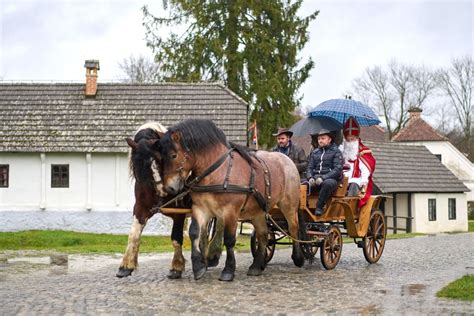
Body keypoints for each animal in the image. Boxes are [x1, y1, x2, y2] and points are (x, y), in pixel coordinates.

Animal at [156, 119, 304, 282]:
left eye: (174, 155)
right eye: (160, 157)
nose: (169, 188)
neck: (217, 171)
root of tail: (287, 160)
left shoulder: (230, 212)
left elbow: (229, 239)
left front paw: (228, 270)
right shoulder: (200, 208)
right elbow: (194, 233)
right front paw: (199, 267)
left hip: (288, 205)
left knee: (293, 228)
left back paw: (298, 257)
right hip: (257, 211)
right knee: (263, 234)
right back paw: (257, 265)